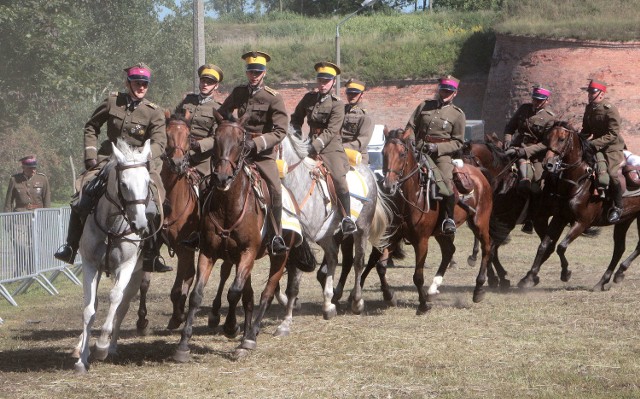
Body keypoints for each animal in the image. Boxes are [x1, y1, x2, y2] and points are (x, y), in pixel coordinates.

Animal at [72, 139, 153, 374]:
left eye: (147, 182)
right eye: (124, 184)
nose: (140, 225)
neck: (111, 226)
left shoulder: (126, 266)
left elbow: (116, 298)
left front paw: (101, 346)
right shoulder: (90, 265)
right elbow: (89, 309)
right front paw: (82, 358)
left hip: (136, 275)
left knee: (123, 305)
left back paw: (112, 346)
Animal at [174, 115, 312, 362]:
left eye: (241, 141)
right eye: (216, 138)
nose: (221, 177)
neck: (229, 205)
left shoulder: (247, 253)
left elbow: (234, 292)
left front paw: (231, 328)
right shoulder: (209, 253)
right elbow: (197, 295)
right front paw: (183, 345)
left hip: (279, 257)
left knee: (267, 293)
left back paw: (250, 337)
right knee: (249, 297)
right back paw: (246, 332)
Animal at [278, 131, 392, 324]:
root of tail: (368, 170)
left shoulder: (302, 240)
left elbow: (295, 273)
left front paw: (288, 313)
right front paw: (286, 301)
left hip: (362, 228)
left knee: (358, 262)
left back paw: (356, 302)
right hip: (326, 235)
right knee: (332, 258)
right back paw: (328, 304)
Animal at [380, 128, 496, 312]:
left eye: (402, 153)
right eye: (383, 153)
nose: (388, 186)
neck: (413, 195)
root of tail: (479, 174)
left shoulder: (421, 241)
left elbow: (418, 276)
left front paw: (422, 306)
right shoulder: (394, 238)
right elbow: (381, 267)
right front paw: (388, 295)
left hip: (479, 223)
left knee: (487, 247)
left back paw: (478, 289)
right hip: (442, 233)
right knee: (449, 251)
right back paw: (433, 288)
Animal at [516, 122, 640, 290]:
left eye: (561, 139)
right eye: (547, 138)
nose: (548, 164)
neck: (578, 182)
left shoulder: (582, 222)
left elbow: (561, 246)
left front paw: (565, 273)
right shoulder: (559, 218)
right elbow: (545, 245)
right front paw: (529, 278)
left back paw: (617, 273)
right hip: (625, 220)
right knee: (619, 249)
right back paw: (606, 279)